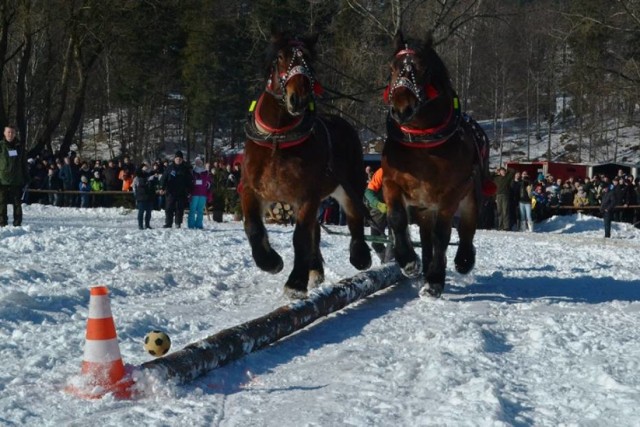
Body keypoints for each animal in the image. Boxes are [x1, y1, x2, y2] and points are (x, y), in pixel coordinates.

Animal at [240, 30, 370, 300]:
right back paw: (315, 270)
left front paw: (295, 283)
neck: (277, 138)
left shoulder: (307, 196)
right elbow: (253, 227)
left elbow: (300, 237)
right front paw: (271, 262)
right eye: (280, 57)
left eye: (309, 61)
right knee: (316, 231)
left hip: (348, 186)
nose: (298, 98)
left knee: (354, 217)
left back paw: (360, 256)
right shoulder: (252, 190)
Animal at [382, 32, 492, 298]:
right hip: (424, 208)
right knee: (427, 237)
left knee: (466, 229)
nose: (401, 108)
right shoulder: (391, 183)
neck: (423, 145)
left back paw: (463, 260)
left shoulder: (450, 195)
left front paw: (434, 281)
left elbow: (443, 235)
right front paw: (408, 261)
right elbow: (397, 219)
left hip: (470, 196)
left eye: (424, 69)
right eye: (391, 68)